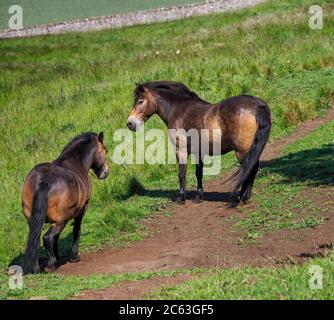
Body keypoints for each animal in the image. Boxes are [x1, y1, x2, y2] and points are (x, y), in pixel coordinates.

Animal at [20, 131, 109, 274]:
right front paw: (74, 256)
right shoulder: (83, 209)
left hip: (33, 219)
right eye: (105, 150)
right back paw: (50, 265)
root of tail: (43, 180)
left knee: (36, 239)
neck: (75, 161)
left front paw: (57, 256)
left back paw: (36, 268)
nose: (105, 172)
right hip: (61, 221)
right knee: (47, 238)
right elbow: (76, 230)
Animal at [126, 82, 270, 208]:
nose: (130, 123)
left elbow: (182, 174)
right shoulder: (198, 151)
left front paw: (181, 198)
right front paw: (199, 197)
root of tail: (258, 106)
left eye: (140, 101)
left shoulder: (181, 150)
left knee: (249, 168)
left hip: (242, 152)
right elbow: (199, 173)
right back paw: (245, 197)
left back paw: (241, 198)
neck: (178, 110)